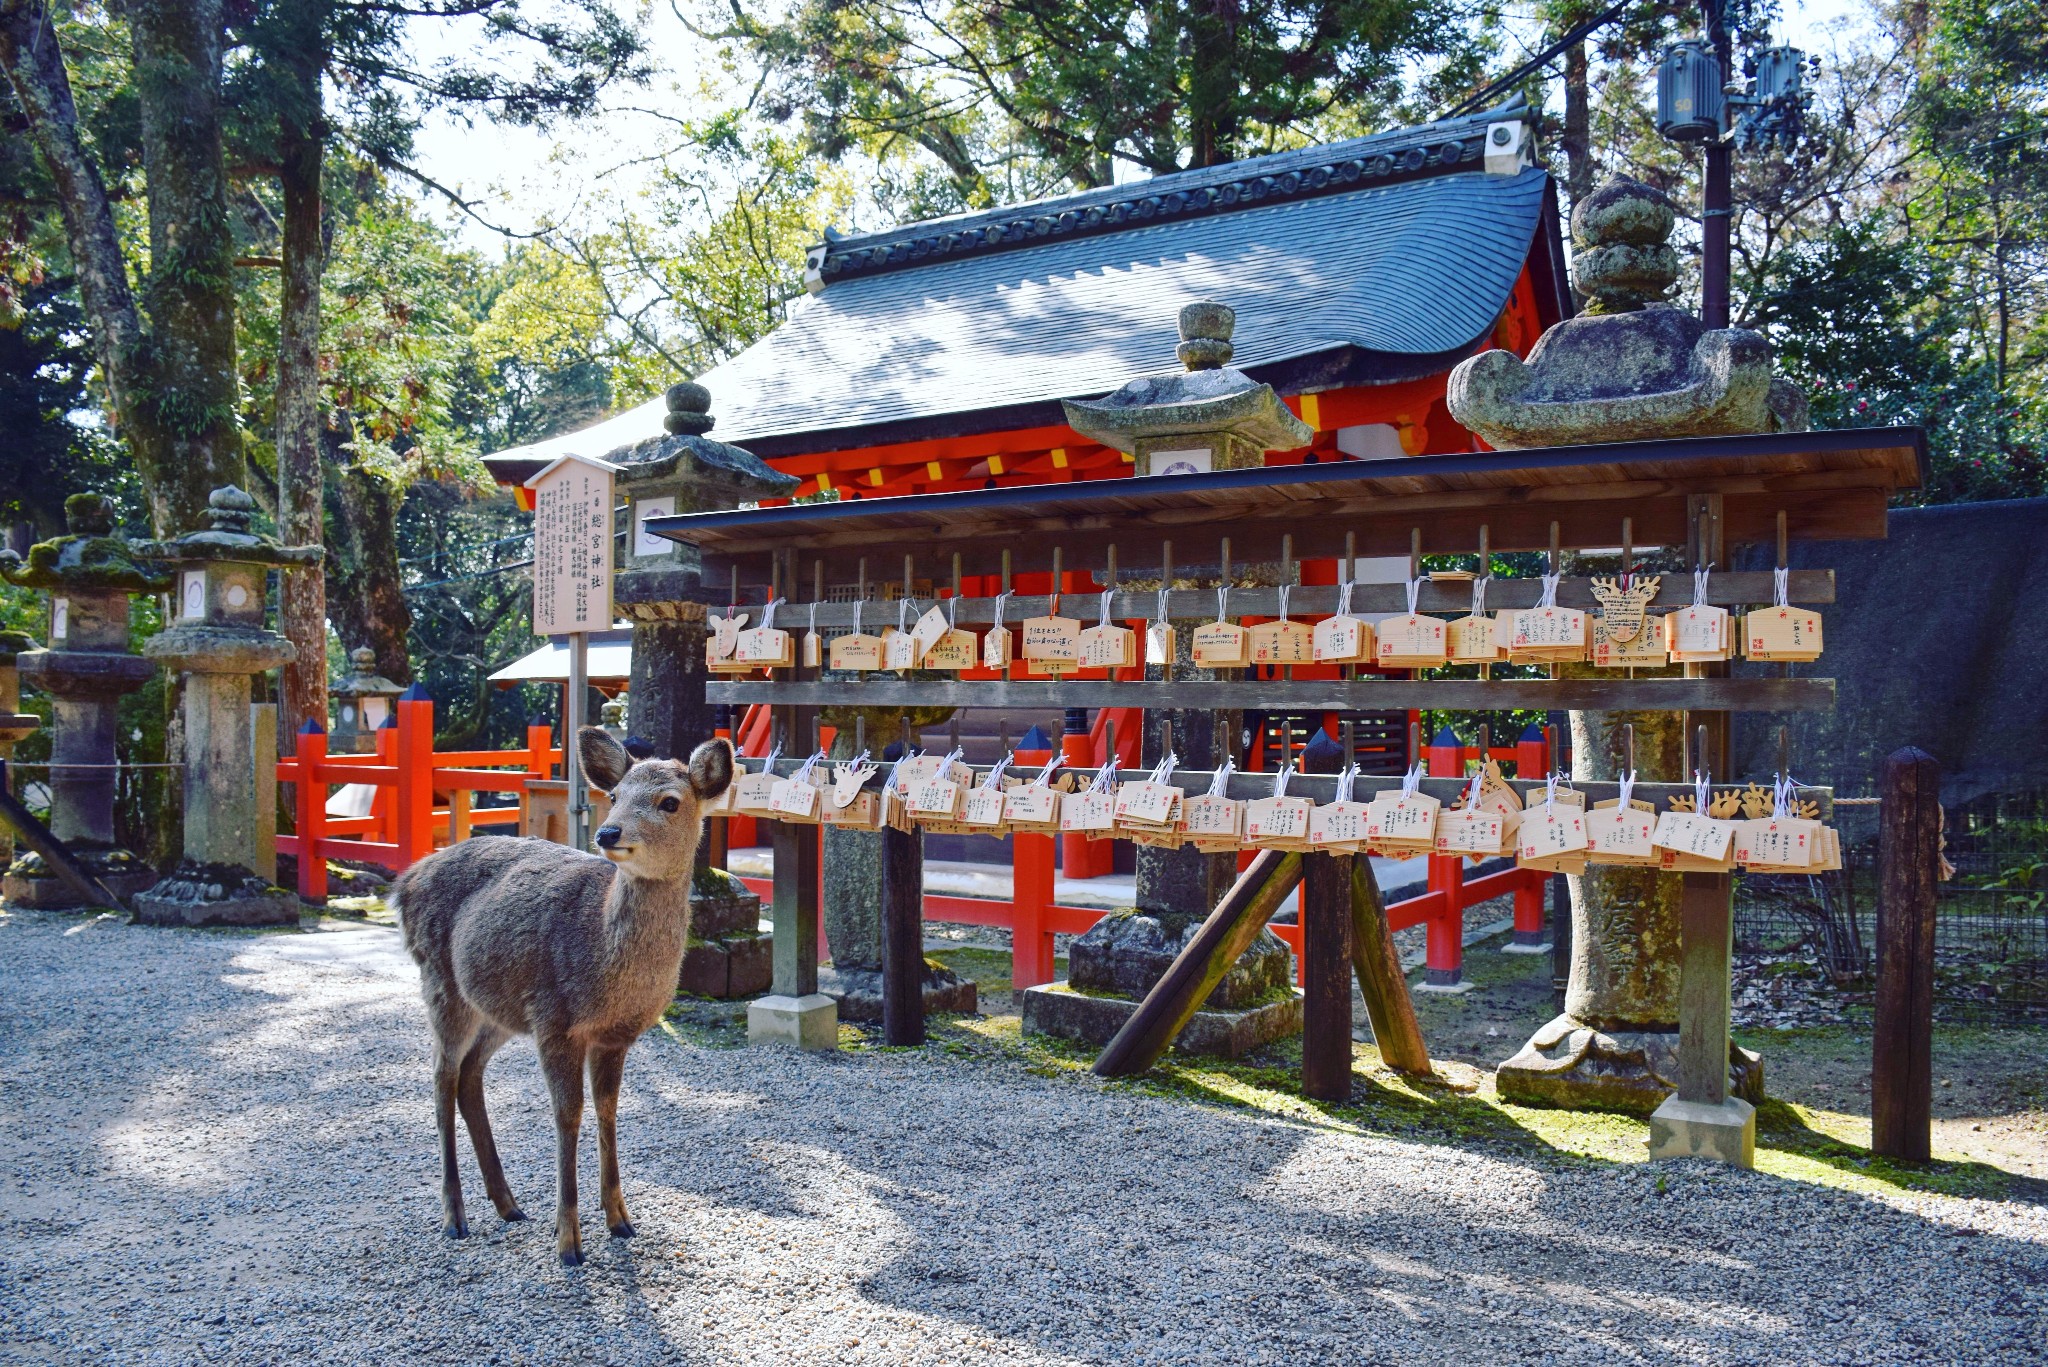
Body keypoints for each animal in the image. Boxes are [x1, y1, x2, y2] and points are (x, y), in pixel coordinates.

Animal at [391, 725, 729, 1270]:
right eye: (613, 796)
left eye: (670, 802)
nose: (608, 834)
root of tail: (403, 884)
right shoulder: (555, 1019)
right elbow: (567, 1115)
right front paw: (569, 1241)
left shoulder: (615, 1035)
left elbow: (608, 1109)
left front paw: (619, 1219)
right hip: (441, 983)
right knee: (442, 1077)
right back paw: (455, 1216)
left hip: (499, 1010)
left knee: (469, 1075)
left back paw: (508, 1204)